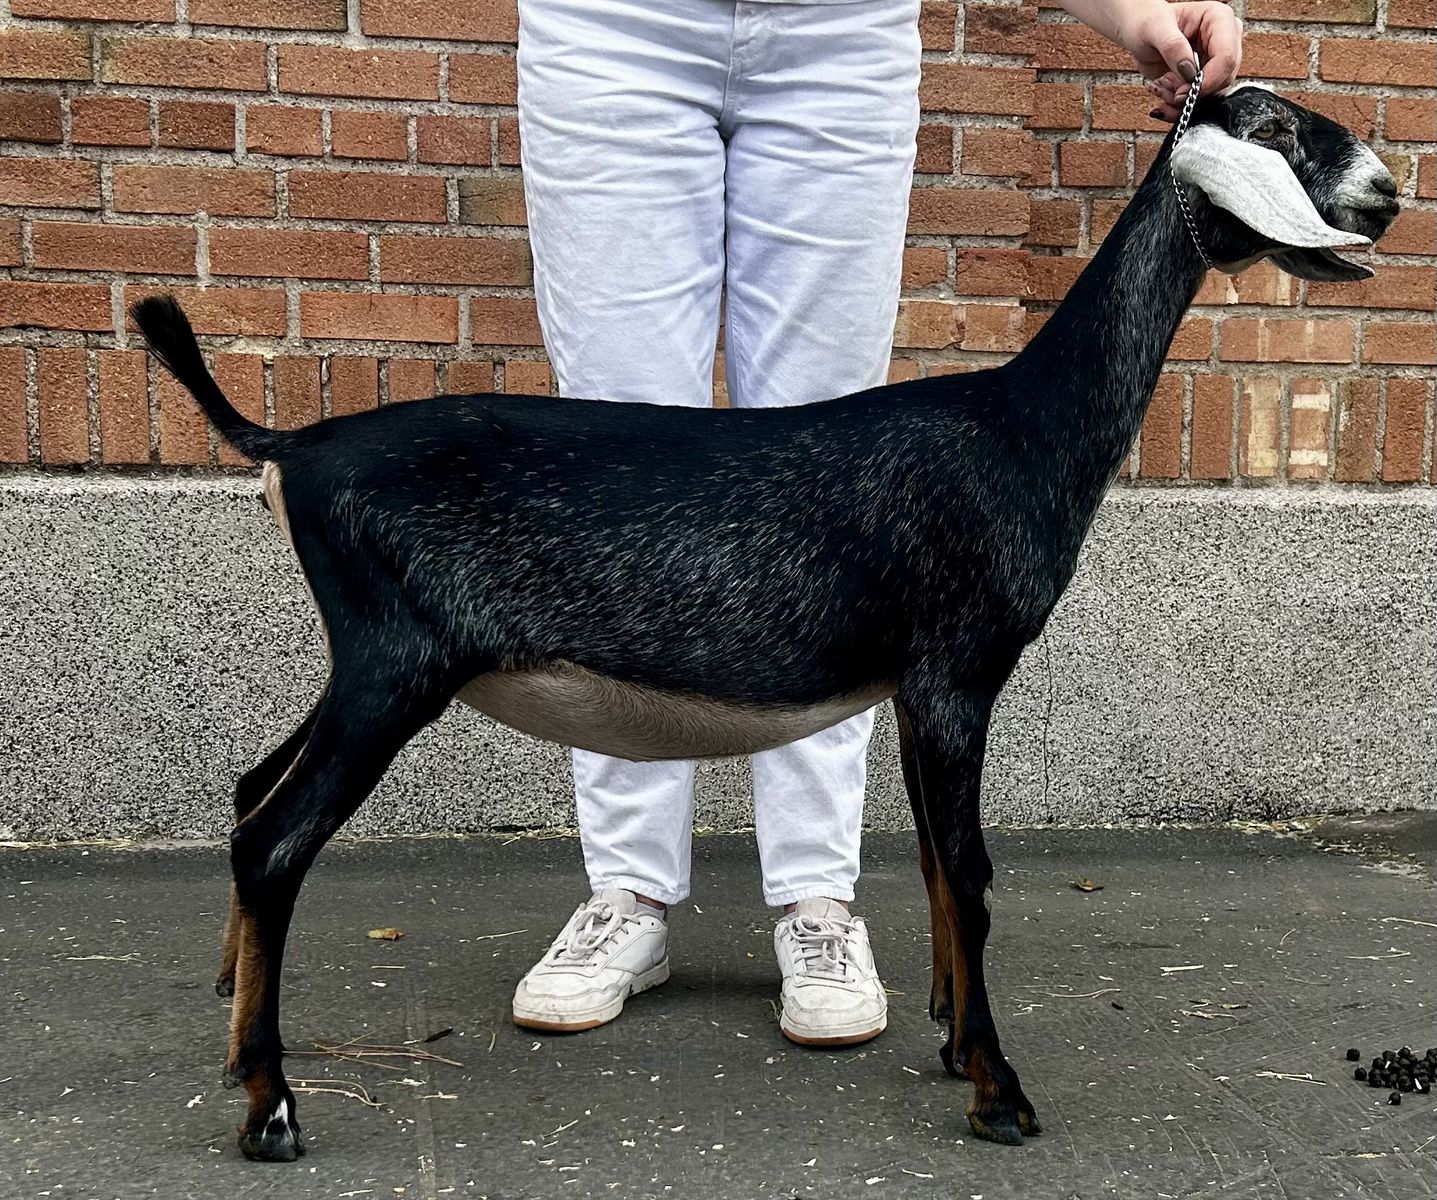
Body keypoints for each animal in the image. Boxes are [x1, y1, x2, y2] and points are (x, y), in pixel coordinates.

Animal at [133, 86, 1396, 1161]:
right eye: (1278, 125)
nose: (1386, 191)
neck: (1020, 426)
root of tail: (294, 446)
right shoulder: (957, 669)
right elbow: (972, 870)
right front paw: (1000, 1092)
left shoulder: (916, 687)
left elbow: (933, 862)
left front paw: (953, 1048)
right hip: (394, 664)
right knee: (274, 839)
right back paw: (271, 1109)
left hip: (365, 661)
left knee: (249, 790)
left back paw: (230, 1029)